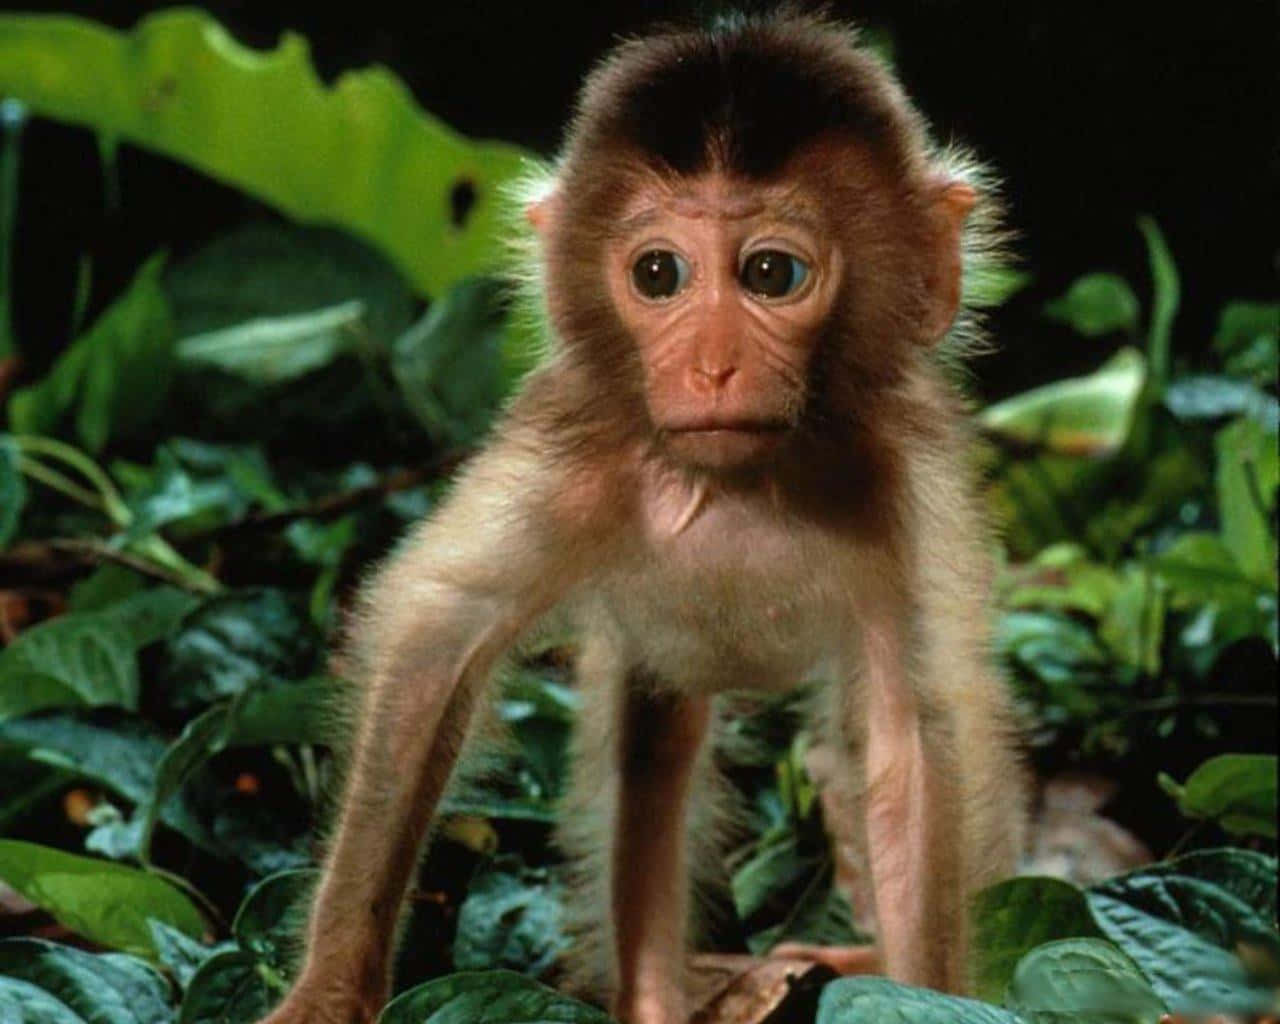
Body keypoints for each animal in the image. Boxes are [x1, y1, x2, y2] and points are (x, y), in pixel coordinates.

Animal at [258, 11, 1025, 1024]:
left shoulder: (902, 483)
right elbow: (435, 642)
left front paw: (922, 994)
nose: (710, 366)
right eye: (659, 274)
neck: (742, 485)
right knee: (653, 756)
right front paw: (331, 987)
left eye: (772, 272)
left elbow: (909, 749)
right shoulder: (571, 456)